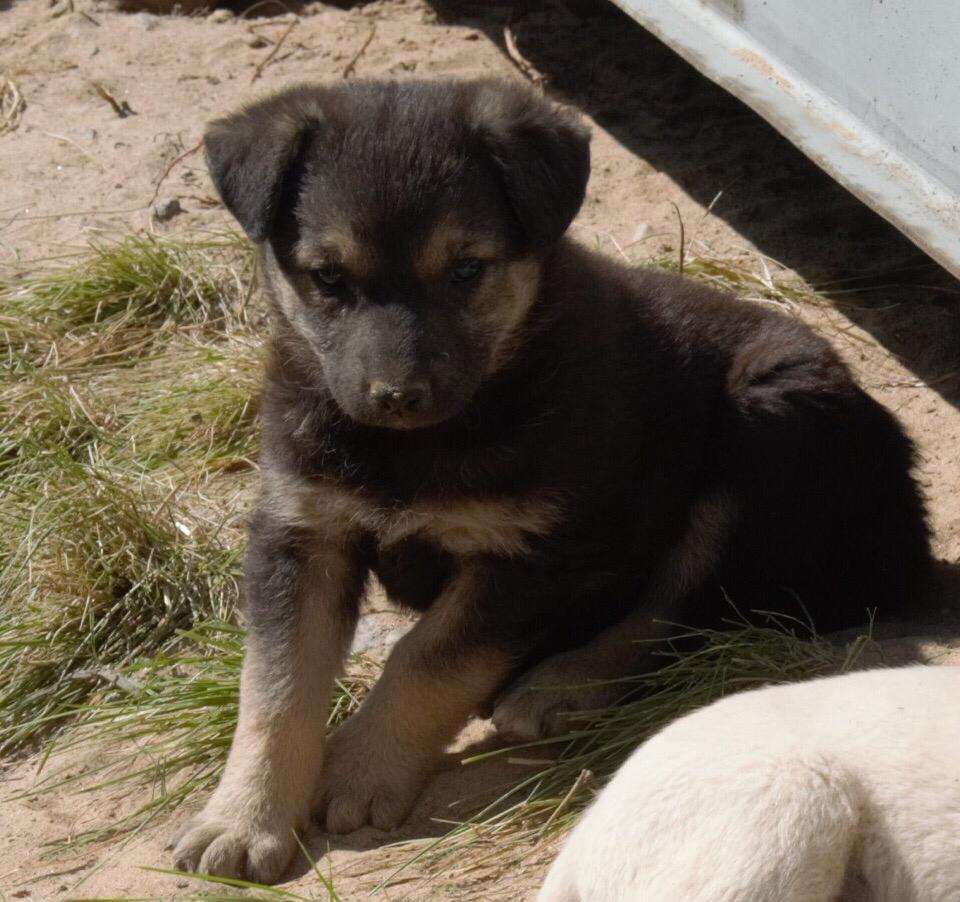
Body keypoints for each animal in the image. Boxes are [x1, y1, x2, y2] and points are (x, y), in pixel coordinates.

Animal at [169, 77, 928, 884]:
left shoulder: (535, 554)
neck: (420, 444)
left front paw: (362, 767)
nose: (399, 396)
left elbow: (426, 660)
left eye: (466, 270)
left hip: (765, 426)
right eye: (328, 278)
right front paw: (242, 818)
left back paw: (560, 682)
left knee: (676, 611)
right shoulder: (302, 530)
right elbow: (276, 688)